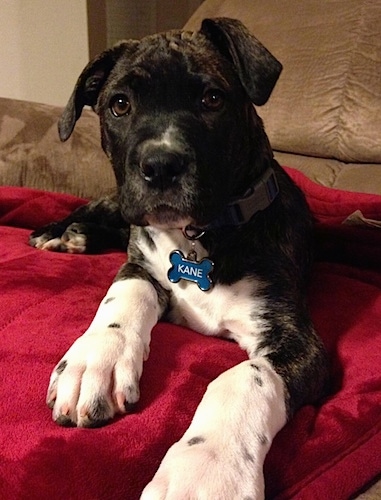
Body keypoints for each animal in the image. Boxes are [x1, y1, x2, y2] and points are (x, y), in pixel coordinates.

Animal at [30, 17, 326, 498]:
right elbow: (123, 295)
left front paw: (206, 467)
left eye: (212, 99)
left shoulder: (297, 339)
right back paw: (61, 233)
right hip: (117, 204)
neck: (196, 236)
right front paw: (94, 359)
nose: (161, 166)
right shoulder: (139, 264)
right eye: (119, 105)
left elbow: (244, 377)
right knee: (95, 211)